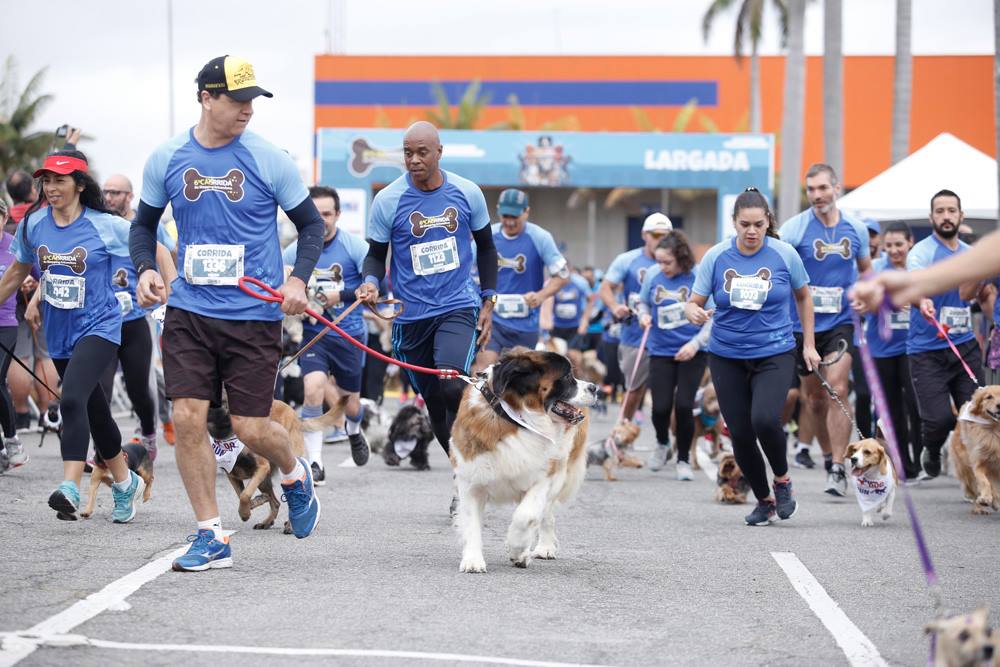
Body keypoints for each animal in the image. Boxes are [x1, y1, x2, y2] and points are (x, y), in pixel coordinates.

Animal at [450, 350, 596, 576]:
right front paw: (473, 560)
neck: (517, 421)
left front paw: (517, 549)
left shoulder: (543, 478)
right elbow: (471, 522)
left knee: (545, 515)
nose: (594, 388)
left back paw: (543, 547)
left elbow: (525, 516)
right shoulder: (471, 481)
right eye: (566, 377)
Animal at [944, 386, 1000, 516]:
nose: (999, 405)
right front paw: (986, 498)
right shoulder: (980, 463)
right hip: (965, 468)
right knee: (974, 489)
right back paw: (980, 506)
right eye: (989, 397)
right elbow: (984, 482)